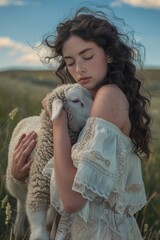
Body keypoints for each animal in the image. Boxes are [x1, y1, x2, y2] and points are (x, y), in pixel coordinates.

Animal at [6, 83, 93, 240]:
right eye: (76, 100)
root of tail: (31, 117)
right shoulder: (37, 192)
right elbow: (39, 232)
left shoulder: (58, 195)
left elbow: (51, 221)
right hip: (15, 184)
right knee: (21, 206)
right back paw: (18, 231)